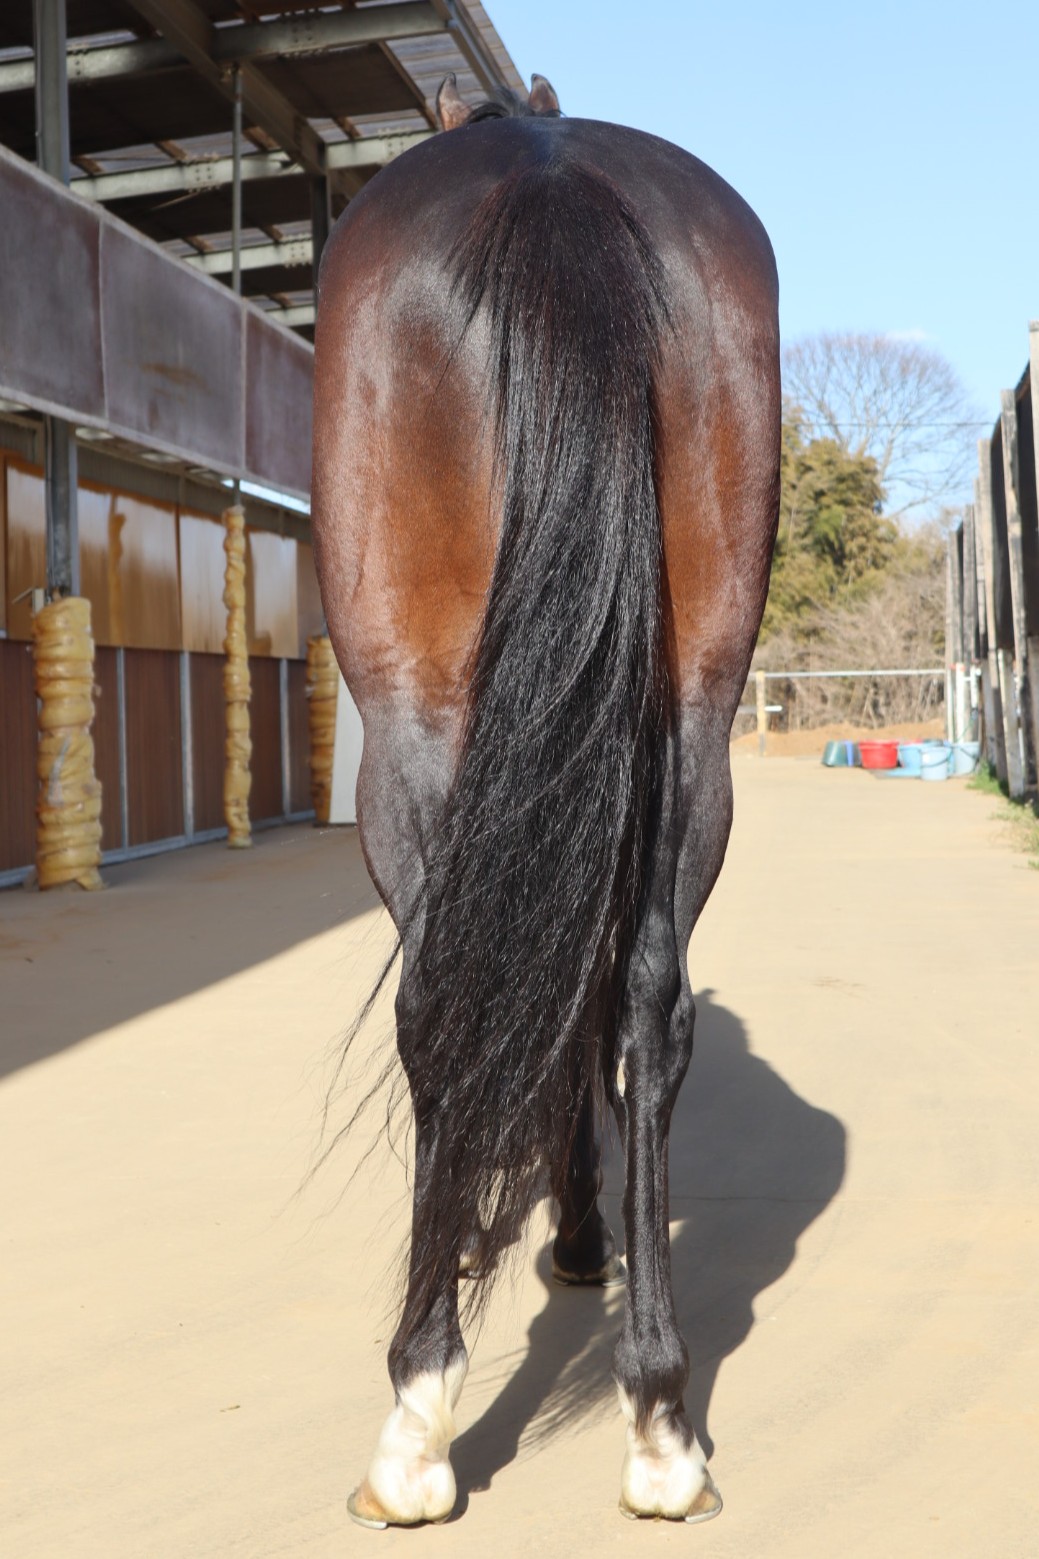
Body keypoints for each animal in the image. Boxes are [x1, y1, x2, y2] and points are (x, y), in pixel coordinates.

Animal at [310, 71, 780, 1528]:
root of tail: (551, 172)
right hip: (692, 724)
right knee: (644, 1002)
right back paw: (660, 1419)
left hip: (410, 730)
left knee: (436, 1006)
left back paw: (414, 1413)